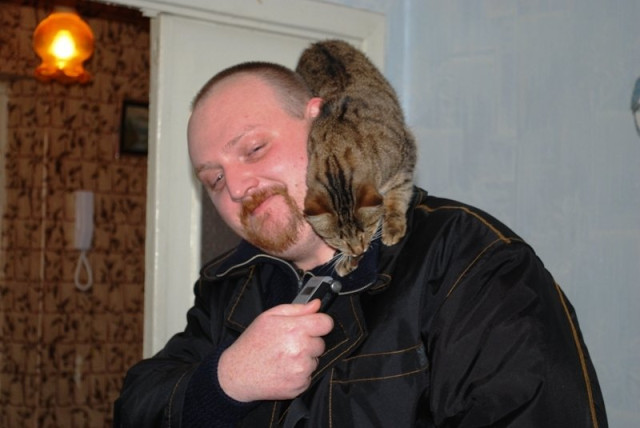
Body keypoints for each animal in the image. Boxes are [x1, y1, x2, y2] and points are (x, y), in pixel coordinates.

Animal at [295, 39, 417, 277]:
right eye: (338, 239)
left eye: (366, 229)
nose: (358, 249)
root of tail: (319, 43)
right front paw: (347, 260)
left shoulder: (406, 155)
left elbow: (399, 194)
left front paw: (393, 226)